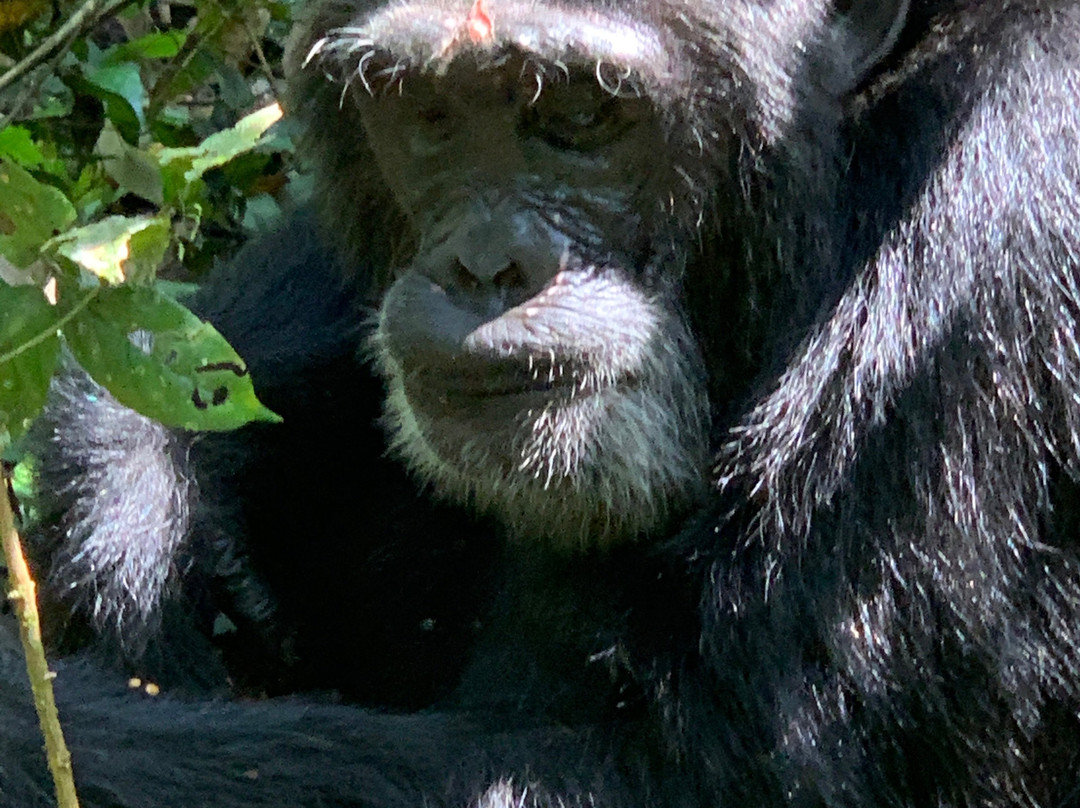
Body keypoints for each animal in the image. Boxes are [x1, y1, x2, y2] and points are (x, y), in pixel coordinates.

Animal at [6, 0, 1080, 803]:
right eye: (427, 112)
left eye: (580, 115)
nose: (484, 265)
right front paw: (144, 503)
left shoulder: (993, 237)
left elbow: (679, 776)